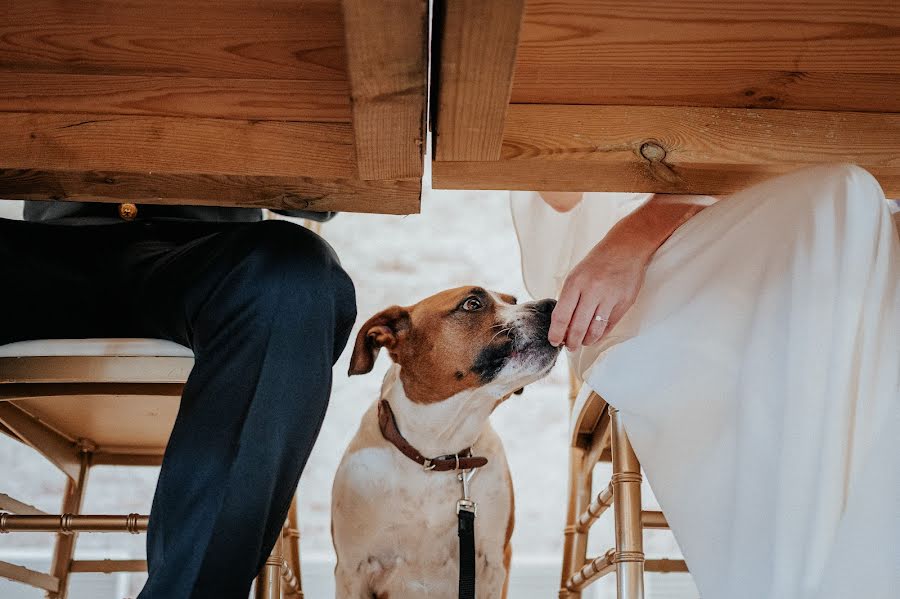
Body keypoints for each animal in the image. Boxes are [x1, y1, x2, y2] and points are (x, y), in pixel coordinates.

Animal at [330, 288, 556, 599]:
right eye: (472, 303)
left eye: (513, 301)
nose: (551, 305)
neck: (436, 452)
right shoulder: (352, 570)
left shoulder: (494, 565)